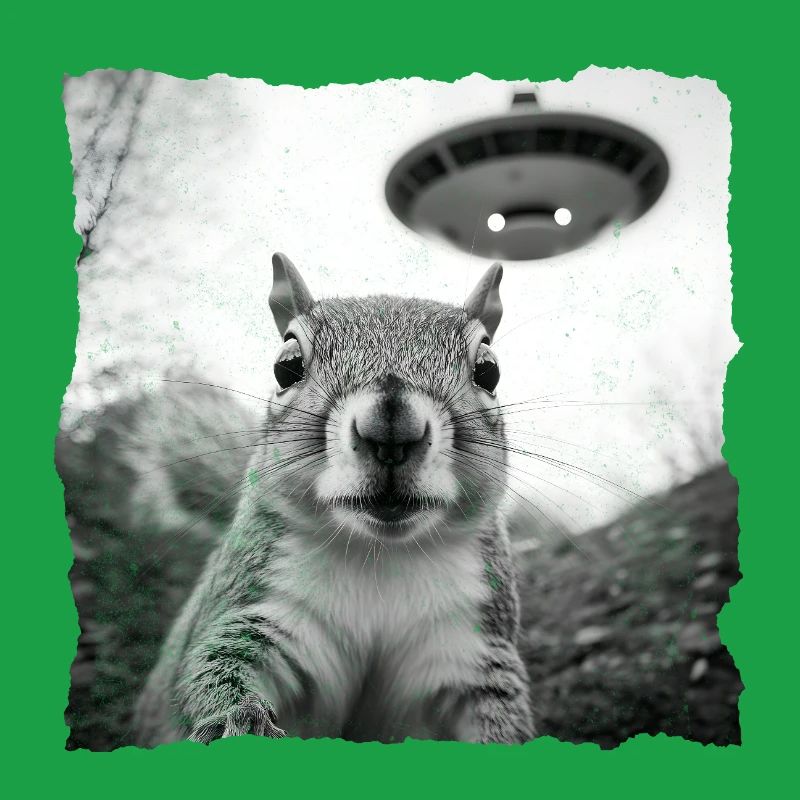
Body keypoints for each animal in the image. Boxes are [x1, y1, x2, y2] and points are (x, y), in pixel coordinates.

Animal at [133, 252, 535, 746]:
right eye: (286, 366)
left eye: (488, 370)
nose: (391, 429)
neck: (381, 555)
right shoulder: (260, 609)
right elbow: (214, 666)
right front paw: (238, 721)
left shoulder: (470, 646)